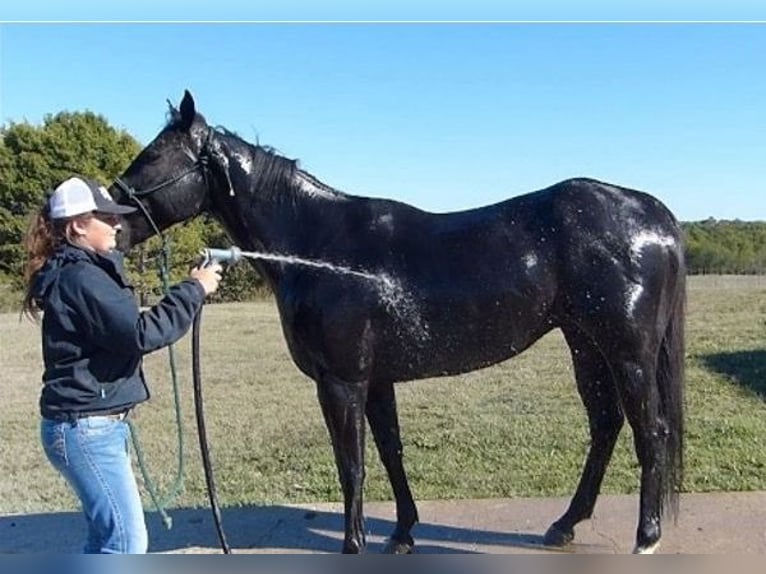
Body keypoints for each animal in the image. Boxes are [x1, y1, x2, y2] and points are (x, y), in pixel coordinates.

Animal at [112, 92, 688, 556]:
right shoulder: (376, 379)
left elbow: (351, 462)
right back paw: (565, 525)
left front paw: (353, 544)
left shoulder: (341, 382)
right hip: (584, 344)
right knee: (605, 425)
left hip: (627, 353)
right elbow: (390, 452)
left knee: (650, 430)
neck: (319, 245)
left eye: (153, 155)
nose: (110, 217)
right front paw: (402, 532)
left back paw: (647, 537)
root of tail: (651, 214)